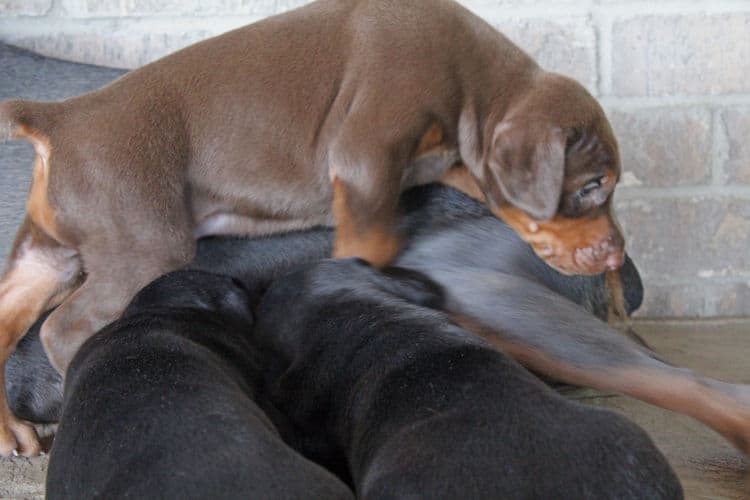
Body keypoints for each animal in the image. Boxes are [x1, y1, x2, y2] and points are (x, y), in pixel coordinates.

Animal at [0, 0, 624, 456]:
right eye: (593, 185)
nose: (617, 257)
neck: (472, 80)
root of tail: (59, 120)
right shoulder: (367, 154)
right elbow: (371, 238)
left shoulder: (442, 160)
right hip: (142, 246)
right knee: (64, 330)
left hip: (46, 257)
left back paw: (11, 432)